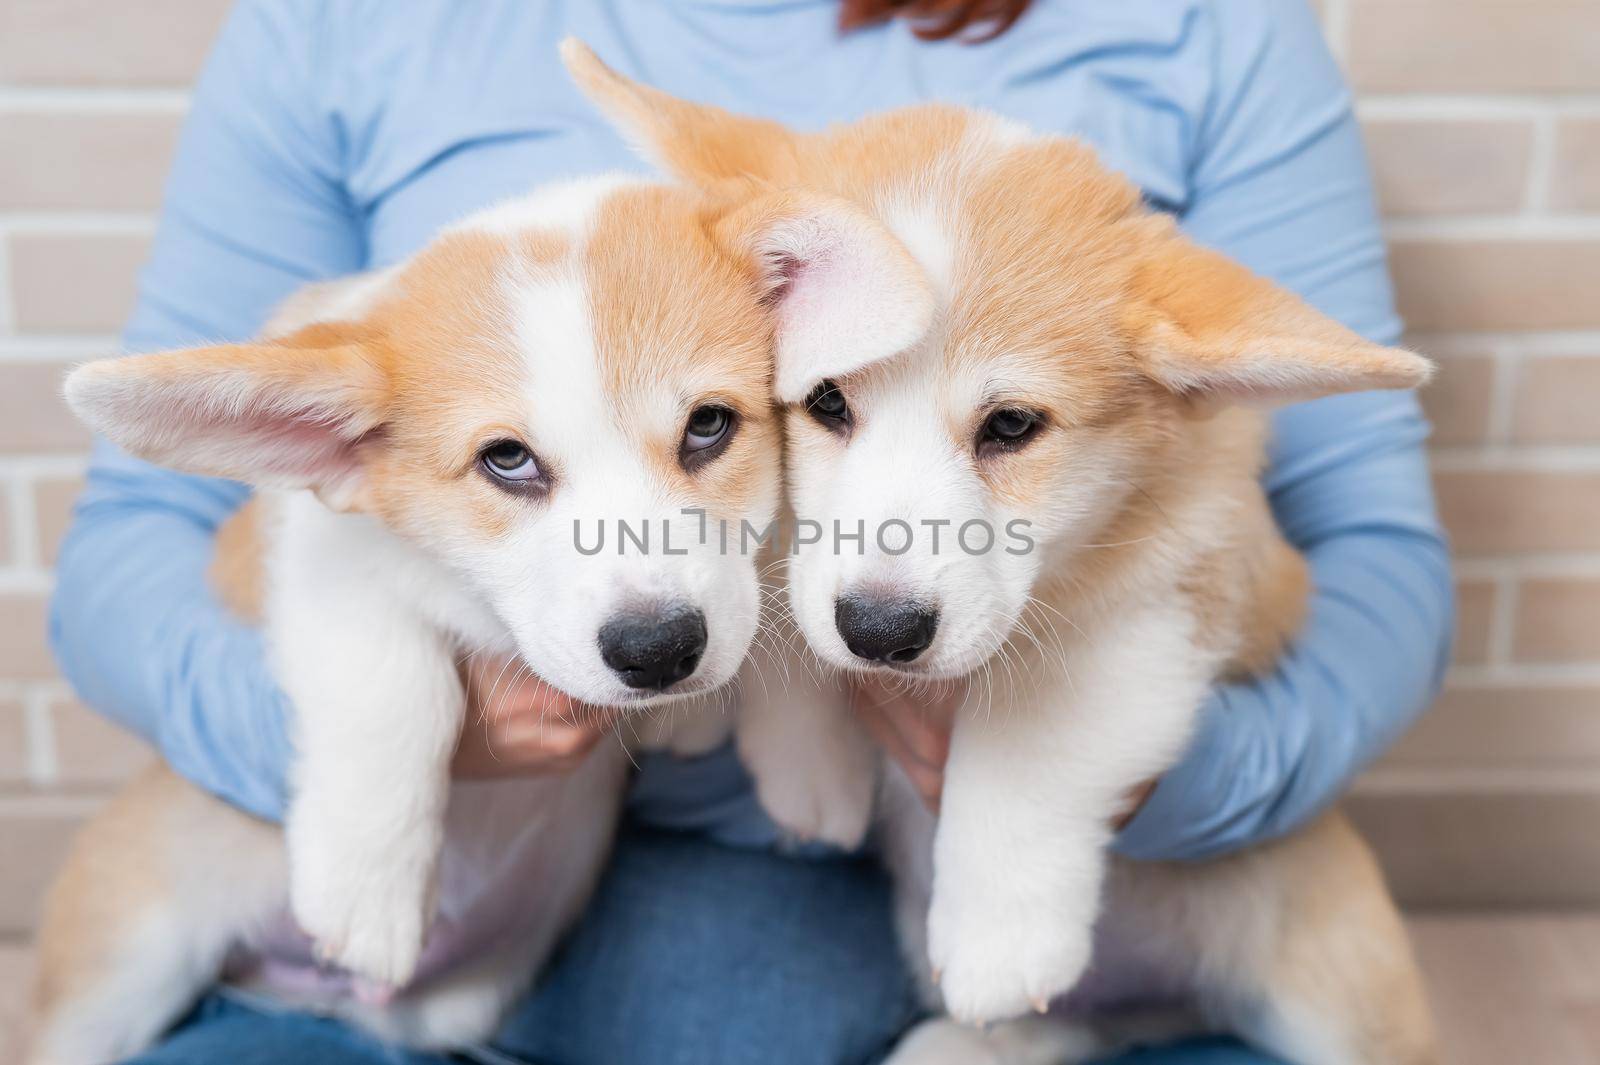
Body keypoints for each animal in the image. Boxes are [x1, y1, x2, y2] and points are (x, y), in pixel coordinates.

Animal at [28, 170, 915, 1055]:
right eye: (507, 459)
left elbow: (777, 585)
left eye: (708, 425)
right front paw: (369, 886)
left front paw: (813, 759)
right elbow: (397, 686)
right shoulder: (323, 550)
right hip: (120, 971)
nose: (658, 651)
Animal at [569, 41, 1446, 1061]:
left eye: (1014, 426)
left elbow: (1031, 727)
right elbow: (779, 590)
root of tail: (1161, 1004)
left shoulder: (1172, 596)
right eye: (825, 399)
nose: (881, 632)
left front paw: (998, 927)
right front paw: (783, 750)